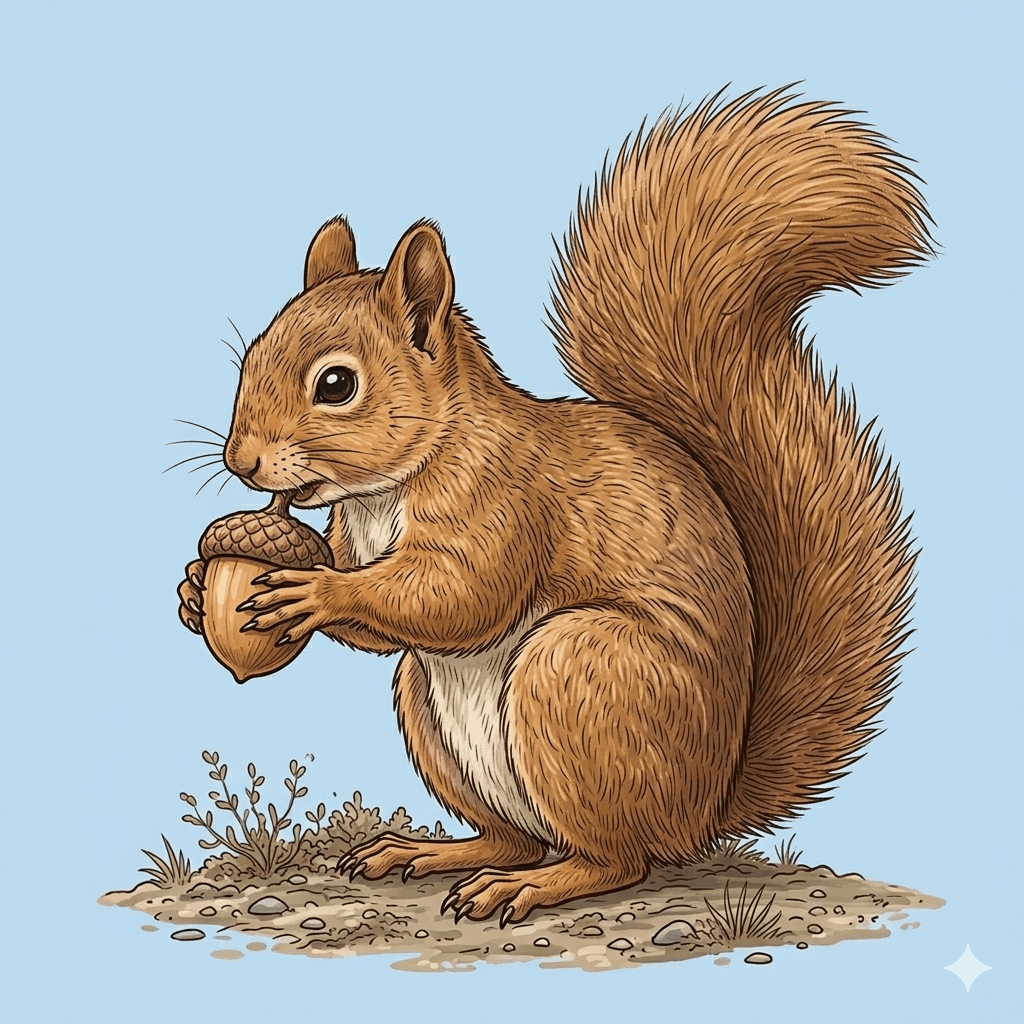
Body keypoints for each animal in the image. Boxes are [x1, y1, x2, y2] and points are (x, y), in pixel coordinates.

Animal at [177, 88, 930, 925]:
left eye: (336, 384)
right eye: (252, 354)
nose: (241, 461)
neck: (389, 491)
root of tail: (702, 813)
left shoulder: (505, 503)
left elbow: (457, 596)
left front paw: (314, 591)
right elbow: (385, 628)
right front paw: (195, 590)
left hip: (574, 672)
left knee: (616, 860)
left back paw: (530, 886)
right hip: (430, 710)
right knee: (514, 835)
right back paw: (430, 853)